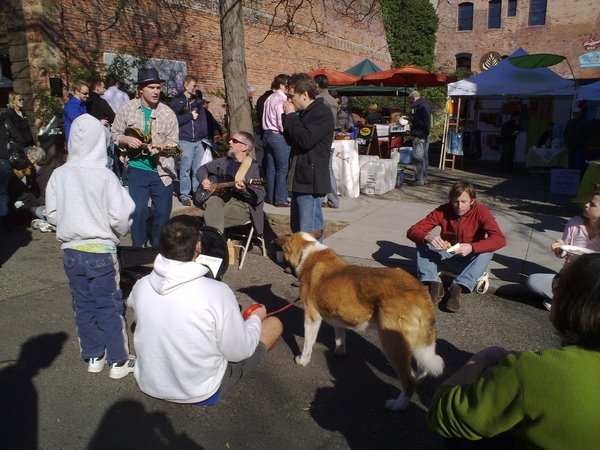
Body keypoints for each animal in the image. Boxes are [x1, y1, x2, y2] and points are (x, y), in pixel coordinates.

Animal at [274, 232, 442, 412]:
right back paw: (419, 379)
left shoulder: (312, 318)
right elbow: (340, 337)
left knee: (408, 382)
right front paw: (340, 352)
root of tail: (420, 291)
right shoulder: (337, 316)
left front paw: (302, 361)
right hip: (419, 343)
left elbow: (307, 345)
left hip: (393, 346)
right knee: (423, 368)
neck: (308, 250)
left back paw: (397, 405)